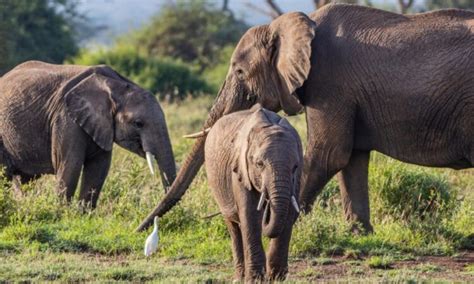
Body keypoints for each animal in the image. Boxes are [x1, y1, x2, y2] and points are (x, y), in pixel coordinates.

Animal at [0, 61, 177, 207]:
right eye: (138, 123)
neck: (117, 85)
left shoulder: (102, 125)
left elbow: (98, 169)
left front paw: (82, 215)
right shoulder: (65, 118)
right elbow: (70, 166)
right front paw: (62, 214)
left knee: (24, 179)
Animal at [137, 3, 474, 232]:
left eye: (239, 72)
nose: (141, 229)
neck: (290, 24)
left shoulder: (330, 81)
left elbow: (328, 154)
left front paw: (277, 227)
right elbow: (351, 158)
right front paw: (358, 235)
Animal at [203, 104, 300, 280]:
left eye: (295, 166)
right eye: (259, 164)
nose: (267, 208)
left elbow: (289, 212)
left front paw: (277, 277)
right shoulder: (240, 169)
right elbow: (250, 215)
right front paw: (256, 279)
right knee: (233, 226)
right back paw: (239, 277)